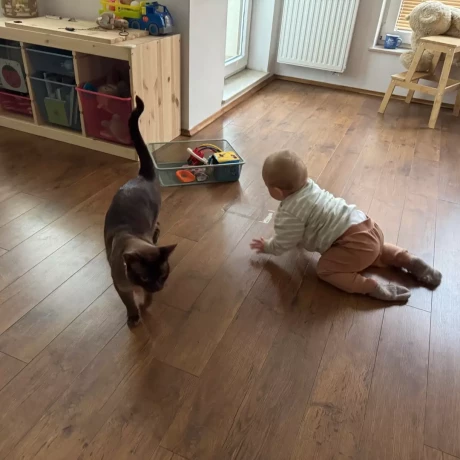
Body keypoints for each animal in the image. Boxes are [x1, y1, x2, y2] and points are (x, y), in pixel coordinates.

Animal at [104, 96, 176, 327]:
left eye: (162, 275)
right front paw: (134, 317)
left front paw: (144, 307)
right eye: (144, 278)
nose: (158, 286)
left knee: (157, 225)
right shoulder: (122, 288)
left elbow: (147, 300)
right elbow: (130, 304)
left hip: (153, 216)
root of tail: (142, 175)